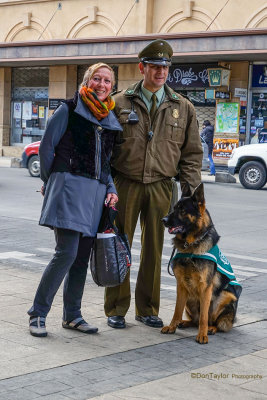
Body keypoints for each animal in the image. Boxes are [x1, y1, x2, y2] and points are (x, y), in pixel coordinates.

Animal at [162, 184, 242, 344]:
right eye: (174, 208)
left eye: (182, 210)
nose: (163, 219)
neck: (191, 245)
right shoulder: (181, 285)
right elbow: (177, 310)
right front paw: (172, 326)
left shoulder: (206, 287)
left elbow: (204, 317)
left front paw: (202, 334)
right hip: (190, 298)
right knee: (194, 319)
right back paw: (184, 322)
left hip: (226, 296)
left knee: (215, 322)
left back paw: (211, 329)